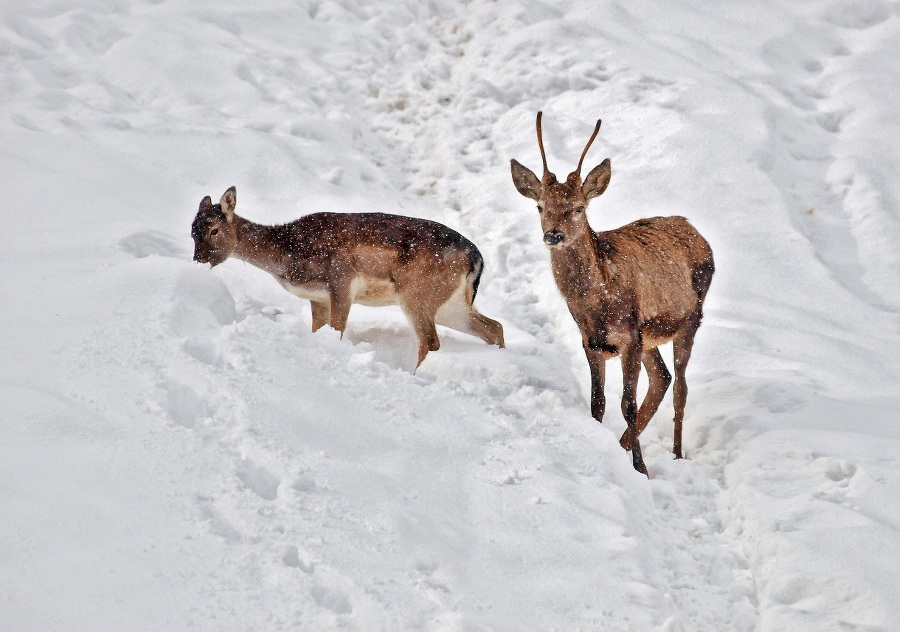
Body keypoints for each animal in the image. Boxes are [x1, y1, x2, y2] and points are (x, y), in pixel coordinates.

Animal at [191, 185, 506, 368]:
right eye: (192, 230)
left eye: (214, 229)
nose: (199, 259)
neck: (289, 252)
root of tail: (476, 258)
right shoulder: (317, 298)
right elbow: (318, 330)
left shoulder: (341, 280)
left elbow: (337, 329)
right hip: (451, 305)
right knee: (494, 327)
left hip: (417, 296)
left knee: (430, 342)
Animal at [510, 113, 712, 474]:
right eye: (540, 207)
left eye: (578, 207)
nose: (553, 235)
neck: (598, 303)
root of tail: (699, 234)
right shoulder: (592, 342)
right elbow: (598, 404)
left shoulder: (630, 336)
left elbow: (626, 404)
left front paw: (640, 469)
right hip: (650, 336)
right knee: (663, 378)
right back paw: (624, 445)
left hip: (689, 318)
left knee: (681, 387)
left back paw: (676, 455)